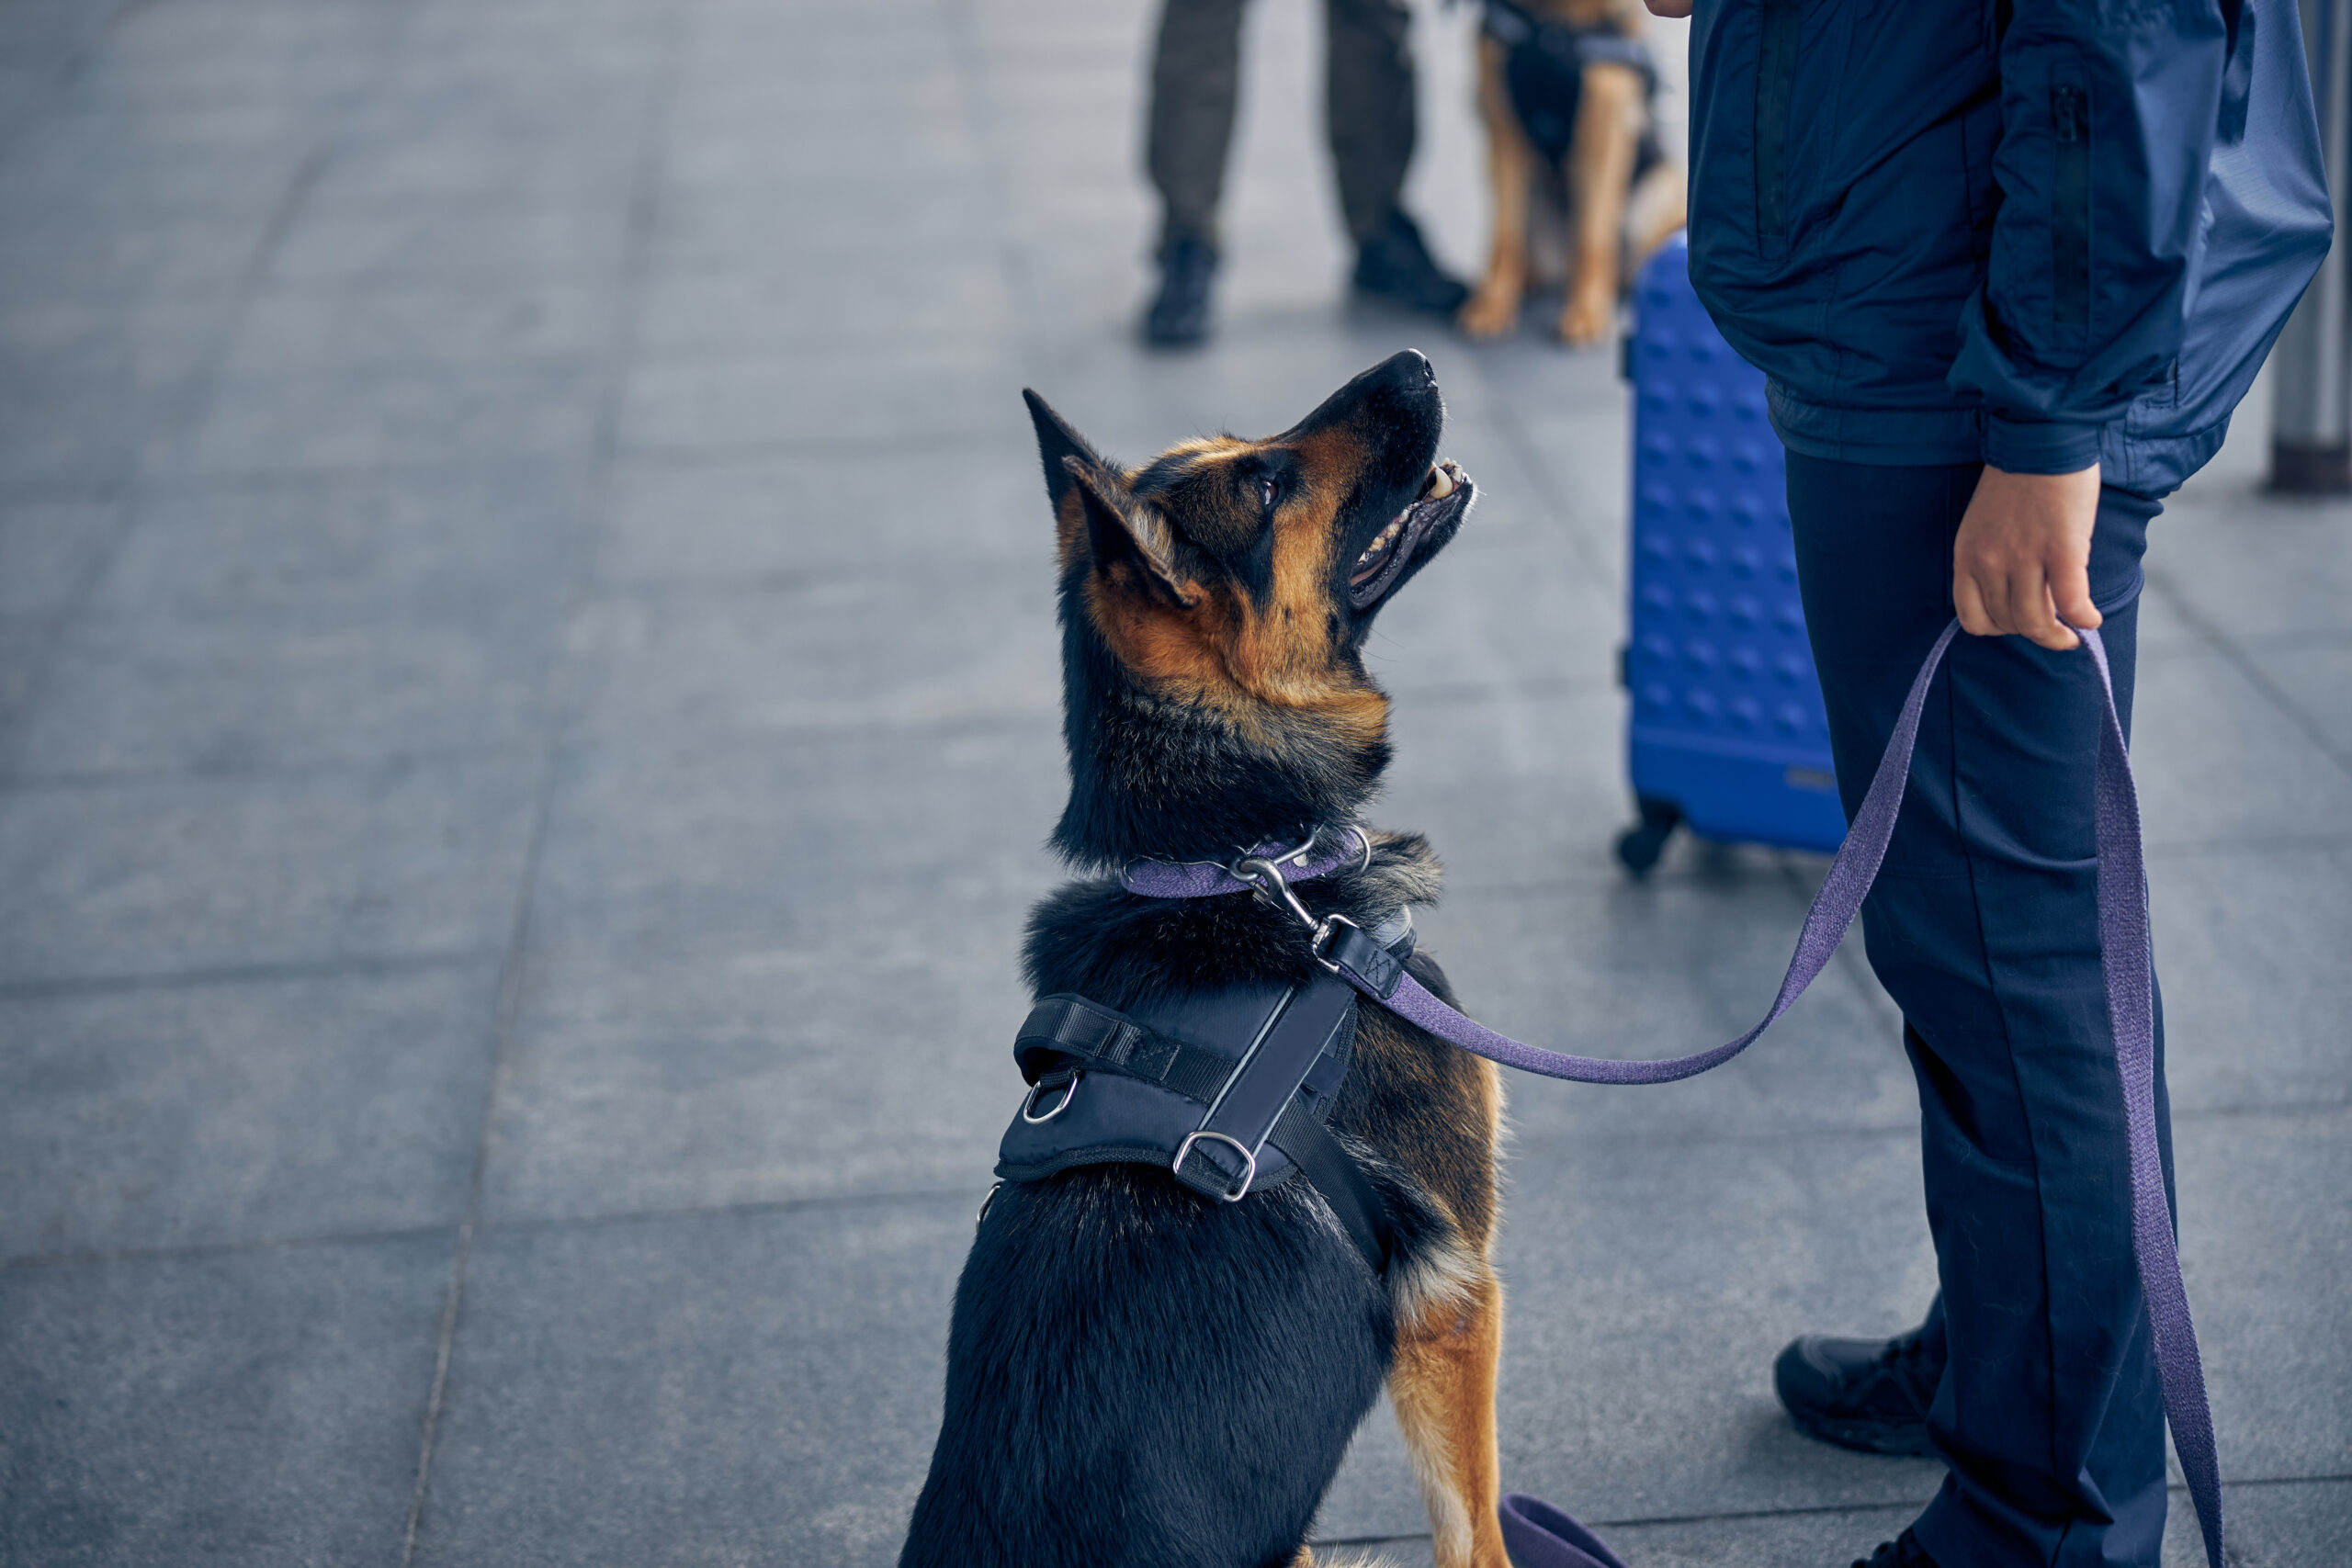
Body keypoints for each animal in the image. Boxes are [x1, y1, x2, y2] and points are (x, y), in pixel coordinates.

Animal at [898, 355, 1505, 1568]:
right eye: (1267, 487)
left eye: (1251, 445)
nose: (1415, 361)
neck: (1231, 860)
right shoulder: (1456, 1304)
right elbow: (1481, 1533)